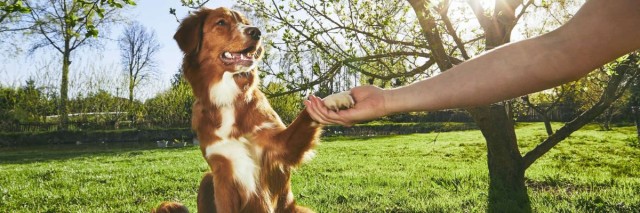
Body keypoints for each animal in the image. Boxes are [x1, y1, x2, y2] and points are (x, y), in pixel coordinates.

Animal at [156, 7, 356, 212]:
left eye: (245, 22)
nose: (256, 32)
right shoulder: (222, 172)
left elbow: (306, 113)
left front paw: (334, 98)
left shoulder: (280, 146)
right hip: (207, 178)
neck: (229, 98)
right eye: (221, 22)